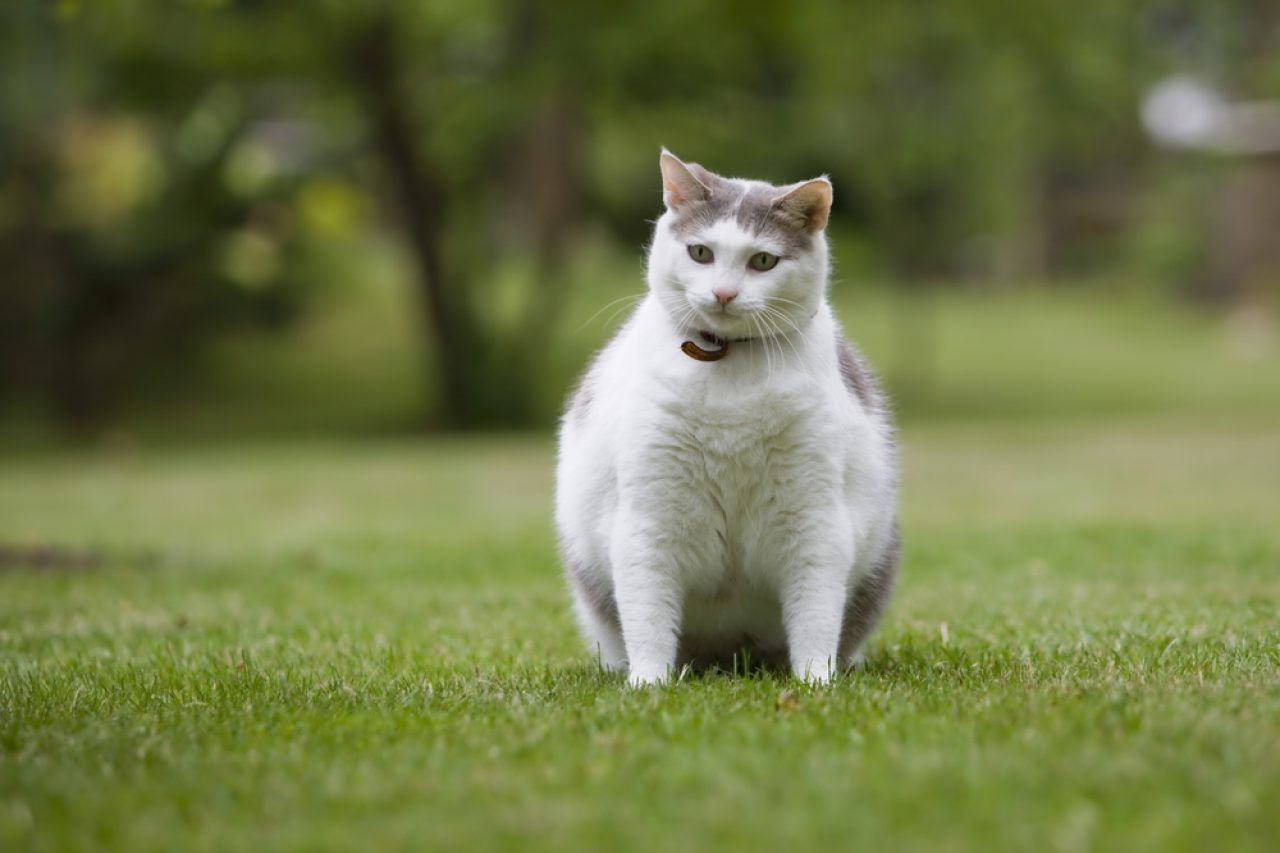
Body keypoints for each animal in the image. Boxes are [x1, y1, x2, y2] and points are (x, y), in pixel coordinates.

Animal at [552, 151, 901, 686]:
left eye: (763, 260)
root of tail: (731, 656)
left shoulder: (813, 518)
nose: (723, 294)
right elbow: (648, 618)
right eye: (700, 252)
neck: (727, 365)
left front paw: (816, 683)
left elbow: (816, 615)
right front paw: (648, 685)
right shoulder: (650, 519)